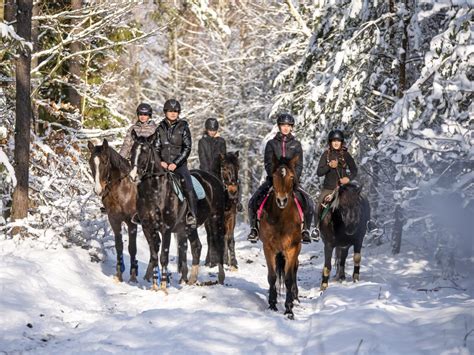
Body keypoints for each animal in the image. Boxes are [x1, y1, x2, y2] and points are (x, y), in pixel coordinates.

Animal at [87, 139, 139, 284]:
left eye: (105, 162)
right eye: (90, 162)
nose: (98, 190)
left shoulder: (132, 223)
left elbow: (132, 248)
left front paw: (133, 276)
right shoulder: (114, 220)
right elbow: (119, 246)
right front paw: (119, 273)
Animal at [129, 129, 227, 290]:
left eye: (145, 151)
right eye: (132, 151)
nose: (133, 176)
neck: (154, 191)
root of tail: (214, 180)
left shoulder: (166, 229)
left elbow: (163, 256)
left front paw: (163, 287)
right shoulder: (147, 227)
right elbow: (154, 255)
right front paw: (154, 286)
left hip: (216, 219)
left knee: (219, 245)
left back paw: (220, 277)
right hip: (189, 227)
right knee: (196, 246)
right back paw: (191, 280)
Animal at [258, 154, 302, 322]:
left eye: (291, 177)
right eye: (275, 176)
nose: (282, 200)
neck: (282, 218)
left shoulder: (292, 248)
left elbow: (289, 278)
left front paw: (289, 310)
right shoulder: (268, 248)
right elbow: (272, 277)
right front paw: (272, 305)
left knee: (295, 268)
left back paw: (295, 297)